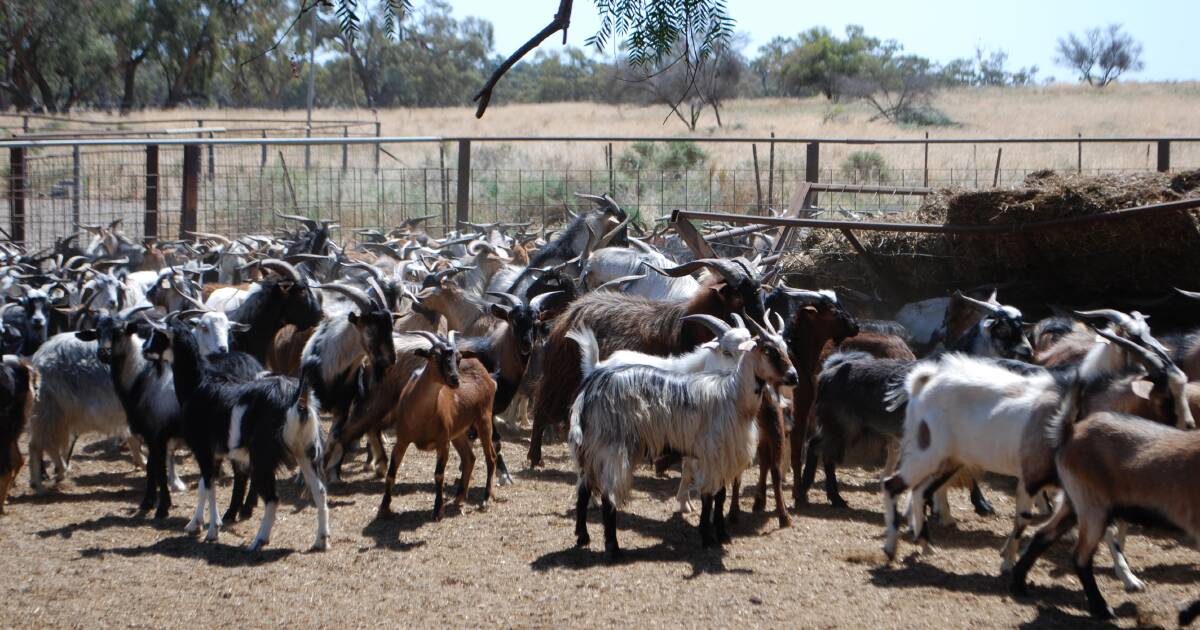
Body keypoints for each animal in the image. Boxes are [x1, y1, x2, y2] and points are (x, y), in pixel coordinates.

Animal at [374, 331, 496, 518]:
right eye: (435, 356)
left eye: (458, 357)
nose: (455, 380)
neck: (421, 416)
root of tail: (486, 374)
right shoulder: (402, 440)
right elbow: (391, 473)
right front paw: (384, 507)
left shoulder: (443, 443)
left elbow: (439, 474)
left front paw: (438, 510)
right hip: (458, 432)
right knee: (469, 458)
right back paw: (459, 498)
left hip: (484, 419)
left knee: (491, 458)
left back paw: (485, 500)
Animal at [568, 316, 796, 556]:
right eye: (768, 350)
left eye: (784, 348)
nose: (794, 377)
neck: (731, 396)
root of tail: (589, 387)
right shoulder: (712, 454)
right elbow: (708, 497)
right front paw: (707, 537)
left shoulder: (722, 457)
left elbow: (721, 496)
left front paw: (721, 534)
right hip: (612, 448)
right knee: (607, 496)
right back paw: (613, 548)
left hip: (592, 448)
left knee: (583, 490)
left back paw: (582, 537)